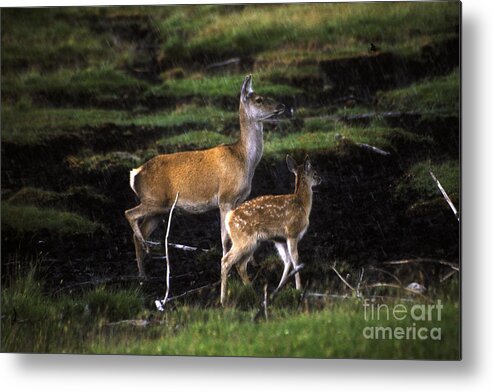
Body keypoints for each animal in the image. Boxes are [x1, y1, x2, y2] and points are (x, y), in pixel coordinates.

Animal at [124, 75, 284, 278]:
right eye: (259, 99)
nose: (282, 105)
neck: (244, 160)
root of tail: (135, 174)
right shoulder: (225, 198)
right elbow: (224, 237)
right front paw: (227, 267)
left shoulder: (238, 200)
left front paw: (252, 262)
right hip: (154, 200)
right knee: (129, 214)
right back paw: (144, 265)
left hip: (160, 210)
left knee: (141, 230)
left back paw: (144, 271)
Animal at [220, 156, 320, 306]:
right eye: (314, 172)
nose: (320, 179)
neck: (302, 205)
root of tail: (229, 218)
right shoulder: (292, 233)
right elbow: (296, 260)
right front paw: (299, 289)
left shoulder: (280, 240)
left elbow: (287, 261)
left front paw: (278, 288)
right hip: (243, 240)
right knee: (226, 261)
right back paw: (223, 299)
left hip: (251, 243)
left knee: (240, 264)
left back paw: (252, 291)